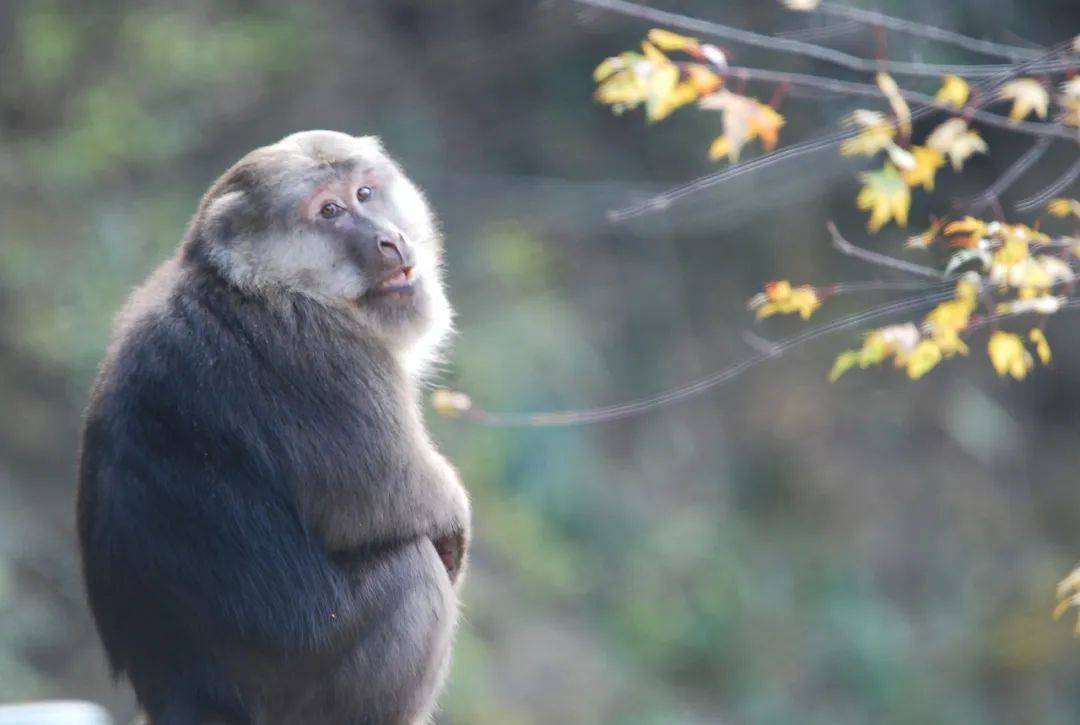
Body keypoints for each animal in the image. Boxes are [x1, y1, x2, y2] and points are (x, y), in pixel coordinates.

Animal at [71, 131, 468, 725]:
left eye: (365, 192)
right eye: (329, 212)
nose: (388, 240)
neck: (255, 282)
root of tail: (180, 688)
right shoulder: (321, 354)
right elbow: (388, 503)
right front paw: (449, 519)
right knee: (414, 577)